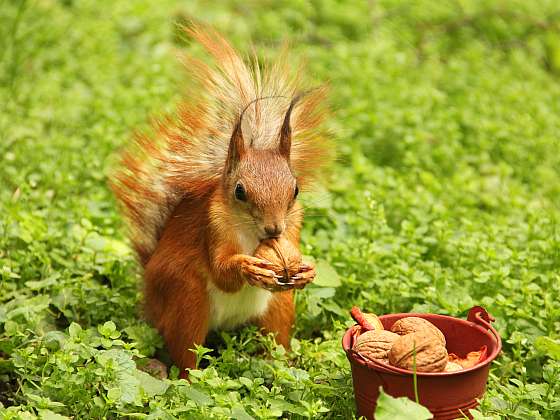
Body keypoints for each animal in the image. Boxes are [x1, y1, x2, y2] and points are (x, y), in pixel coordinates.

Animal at [113, 26, 332, 374]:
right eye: (240, 191)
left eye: (295, 190)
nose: (274, 230)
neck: (254, 235)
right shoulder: (212, 226)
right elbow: (221, 271)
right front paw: (247, 267)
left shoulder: (293, 225)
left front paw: (306, 269)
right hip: (186, 300)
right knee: (186, 356)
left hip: (278, 308)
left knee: (276, 341)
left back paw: (280, 366)